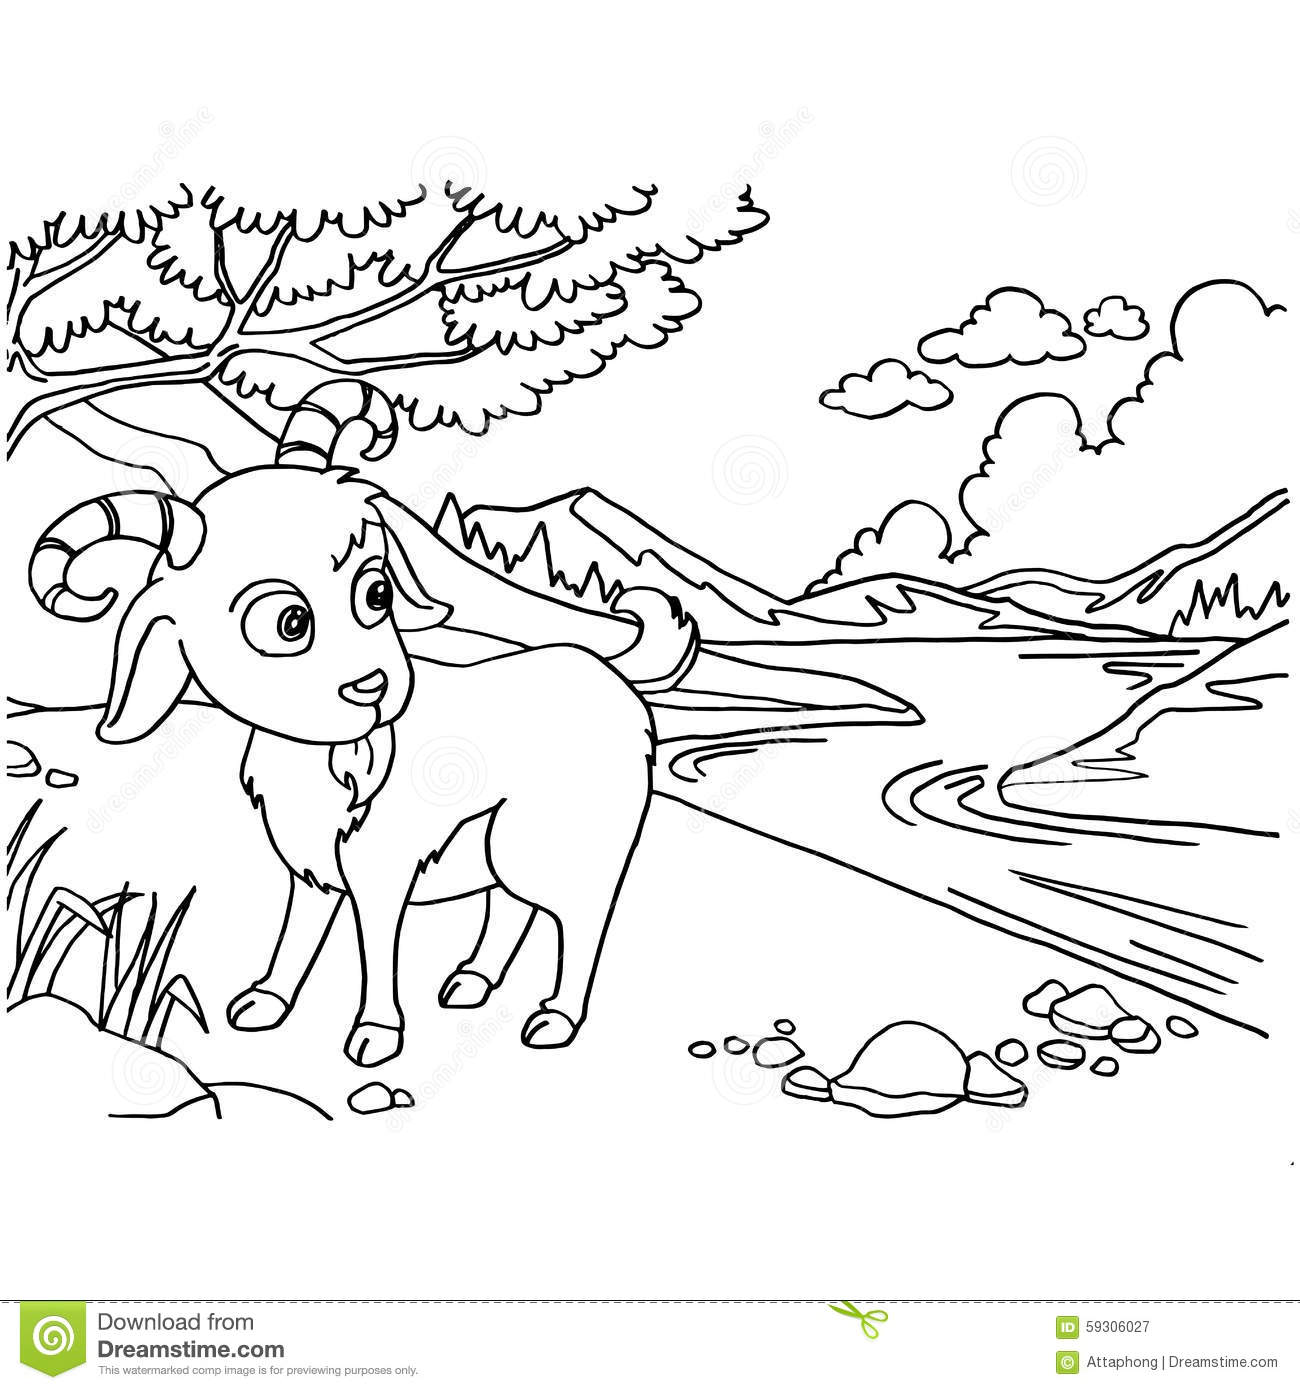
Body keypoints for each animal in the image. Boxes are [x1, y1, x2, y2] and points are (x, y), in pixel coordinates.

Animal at [30, 382, 698, 1062]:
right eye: (289, 623)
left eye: (376, 593)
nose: (373, 688)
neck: (321, 760)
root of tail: (605, 674)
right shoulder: (310, 874)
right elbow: (295, 939)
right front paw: (266, 1002)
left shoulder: (380, 876)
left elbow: (376, 953)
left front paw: (376, 1035)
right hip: (495, 848)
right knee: (511, 911)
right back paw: (472, 981)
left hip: (547, 844)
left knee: (580, 917)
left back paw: (557, 1017)